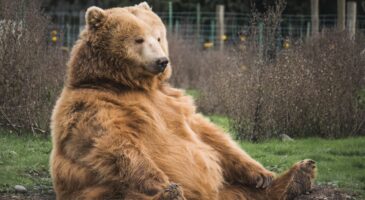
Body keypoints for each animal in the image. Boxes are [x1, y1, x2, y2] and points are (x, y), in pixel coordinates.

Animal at [49, 1, 314, 200]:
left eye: (158, 37)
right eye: (138, 39)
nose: (162, 61)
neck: (130, 84)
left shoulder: (173, 102)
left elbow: (210, 135)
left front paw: (262, 174)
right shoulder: (93, 105)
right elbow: (114, 143)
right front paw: (163, 185)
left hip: (228, 189)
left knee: (246, 191)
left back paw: (299, 174)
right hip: (100, 191)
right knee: (125, 192)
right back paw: (170, 194)